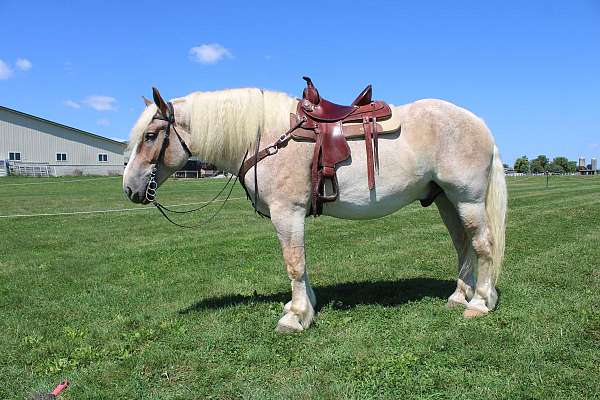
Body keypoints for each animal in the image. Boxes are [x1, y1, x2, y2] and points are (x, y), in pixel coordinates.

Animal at [122, 79, 506, 332]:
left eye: (151, 136)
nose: (130, 188)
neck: (265, 136)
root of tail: (480, 125)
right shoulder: (291, 215)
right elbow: (301, 265)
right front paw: (304, 306)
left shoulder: (286, 212)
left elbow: (294, 263)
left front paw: (295, 318)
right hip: (445, 200)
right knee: (462, 245)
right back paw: (459, 296)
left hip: (467, 199)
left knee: (482, 245)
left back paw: (479, 303)